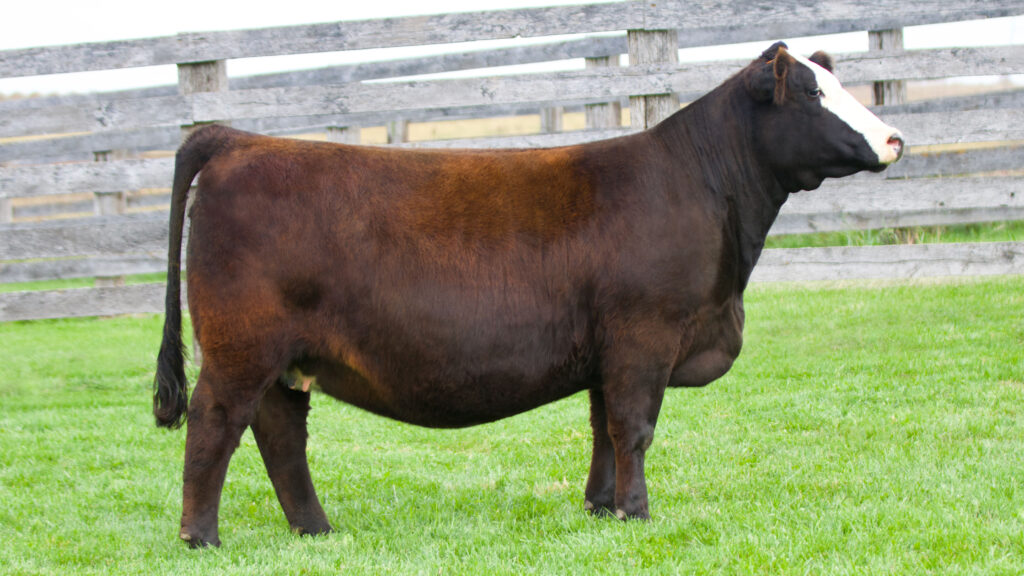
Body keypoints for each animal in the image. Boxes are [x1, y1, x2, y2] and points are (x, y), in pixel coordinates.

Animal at [154, 42, 903, 547]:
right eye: (811, 94)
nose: (895, 137)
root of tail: (238, 140)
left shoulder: (608, 348)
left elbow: (603, 428)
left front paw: (602, 509)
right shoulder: (645, 334)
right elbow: (634, 427)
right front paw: (638, 512)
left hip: (285, 357)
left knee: (281, 435)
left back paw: (316, 530)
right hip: (242, 346)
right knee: (215, 424)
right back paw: (201, 537)